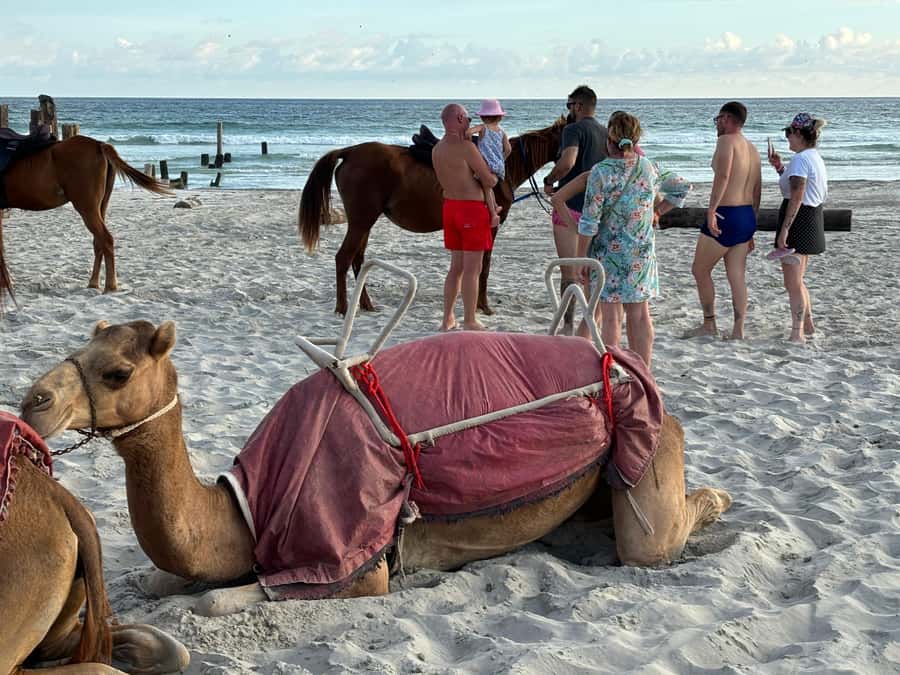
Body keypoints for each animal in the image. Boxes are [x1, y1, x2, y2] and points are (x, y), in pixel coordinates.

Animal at [20, 319, 731, 616]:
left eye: (118, 371)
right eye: (79, 345)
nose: (34, 400)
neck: (248, 506)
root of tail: (629, 363)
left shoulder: (352, 565)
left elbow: (217, 601)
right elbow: (156, 581)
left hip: (647, 444)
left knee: (653, 540)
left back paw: (719, 499)